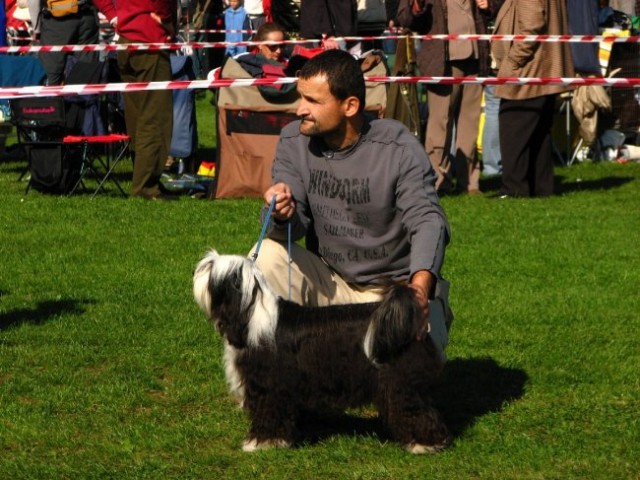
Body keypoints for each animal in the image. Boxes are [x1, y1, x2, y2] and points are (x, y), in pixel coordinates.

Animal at [192, 251, 448, 454]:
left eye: (211, 268)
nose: (199, 266)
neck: (251, 316)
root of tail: (410, 321)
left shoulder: (269, 386)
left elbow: (268, 412)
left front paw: (261, 443)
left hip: (400, 383)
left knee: (415, 410)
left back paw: (424, 444)